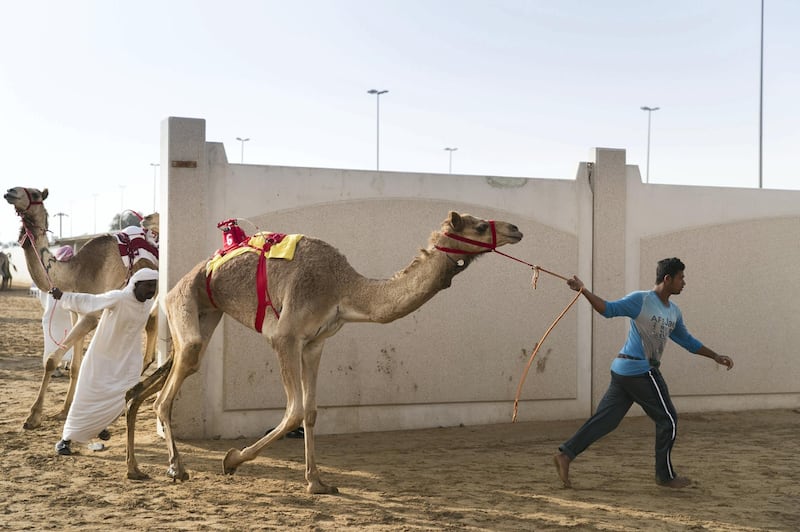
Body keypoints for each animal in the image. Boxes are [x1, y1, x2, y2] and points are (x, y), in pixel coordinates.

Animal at [3, 186, 158, 428]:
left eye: (36, 194)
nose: (10, 191)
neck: (75, 273)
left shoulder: (92, 315)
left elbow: (51, 360)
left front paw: (33, 416)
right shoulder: (77, 313)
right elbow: (75, 366)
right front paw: (64, 410)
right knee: (152, 324)